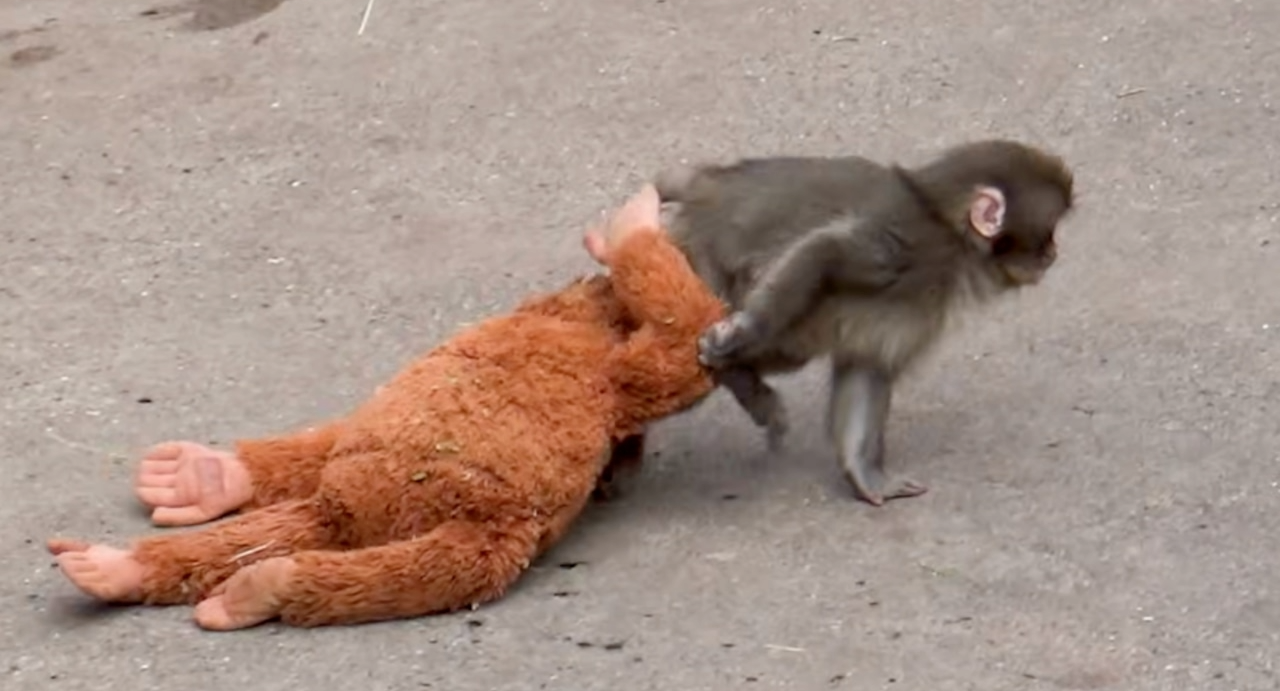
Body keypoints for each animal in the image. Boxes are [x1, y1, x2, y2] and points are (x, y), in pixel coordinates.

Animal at [654, 139, 1075, 505]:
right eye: (1049, 233)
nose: (1054, 253)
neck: (954, 240)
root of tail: (698, 190)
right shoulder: (907, 244)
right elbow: (826, 250)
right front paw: (744, 333)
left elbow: (867, 367)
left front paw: (868, 475)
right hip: (695, 262)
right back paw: (744, 382)